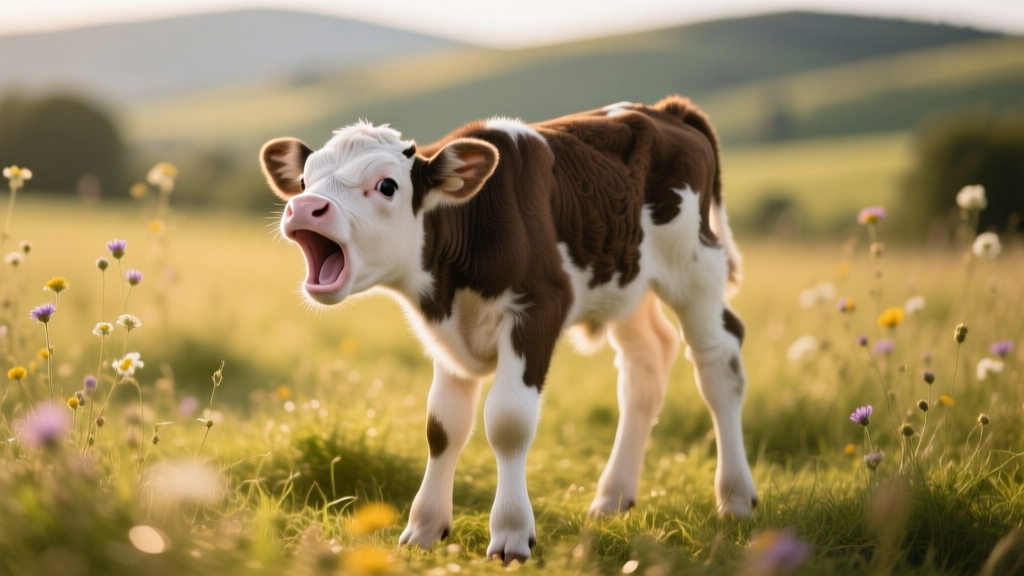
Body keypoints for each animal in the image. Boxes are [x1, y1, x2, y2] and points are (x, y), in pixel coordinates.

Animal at [259, 95, 757, 564]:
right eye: (303, 181)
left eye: (386, 185)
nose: (305, 207)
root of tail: (664, 110)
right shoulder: (446, 335)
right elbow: (442, 425)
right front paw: (424, 529)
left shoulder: (538, 309)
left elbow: (508, 421)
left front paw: (512, 535)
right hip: (626, 284)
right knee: (645, 365)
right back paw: (614, 498)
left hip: (695, 268)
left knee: (718, 363)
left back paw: (735, 498)